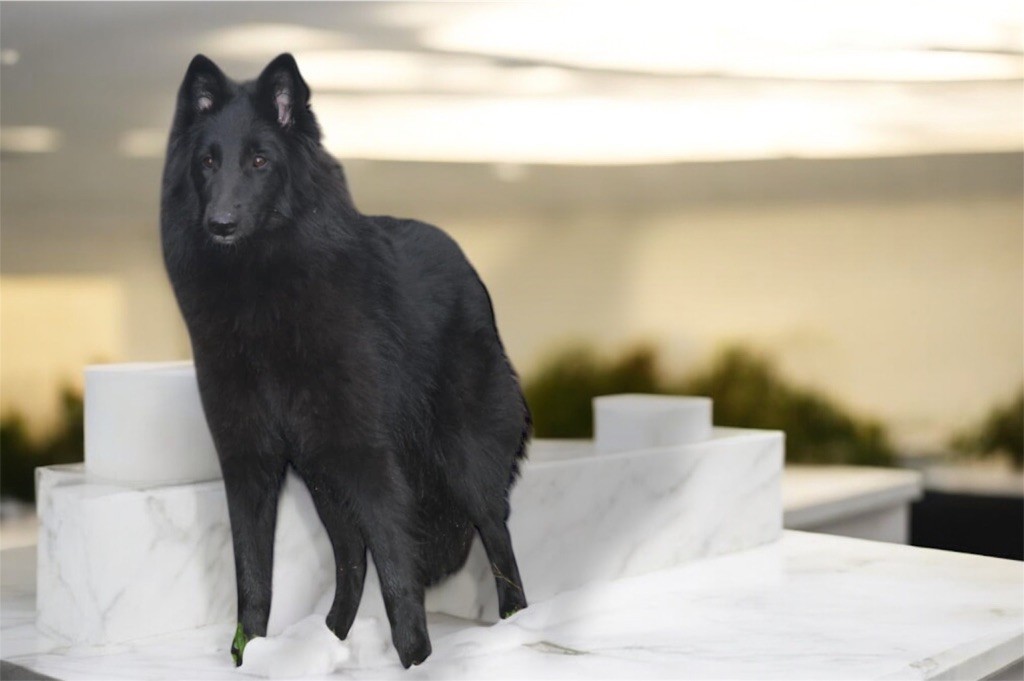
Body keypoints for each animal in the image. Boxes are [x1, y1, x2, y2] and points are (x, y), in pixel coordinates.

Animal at [160, 53, 529, 668]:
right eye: (208, 162)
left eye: (260, 160)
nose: (221, 223)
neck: (261, 299)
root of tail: (468, 267)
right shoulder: (249, 461)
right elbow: (253, 576)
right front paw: (247, 659)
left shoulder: (367, 455)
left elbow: (399, 572)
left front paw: (417, 662)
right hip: (323, 473)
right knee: (351, 557)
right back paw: (327, 642)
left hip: (460, 462)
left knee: (497, 542)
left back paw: (517, 625)